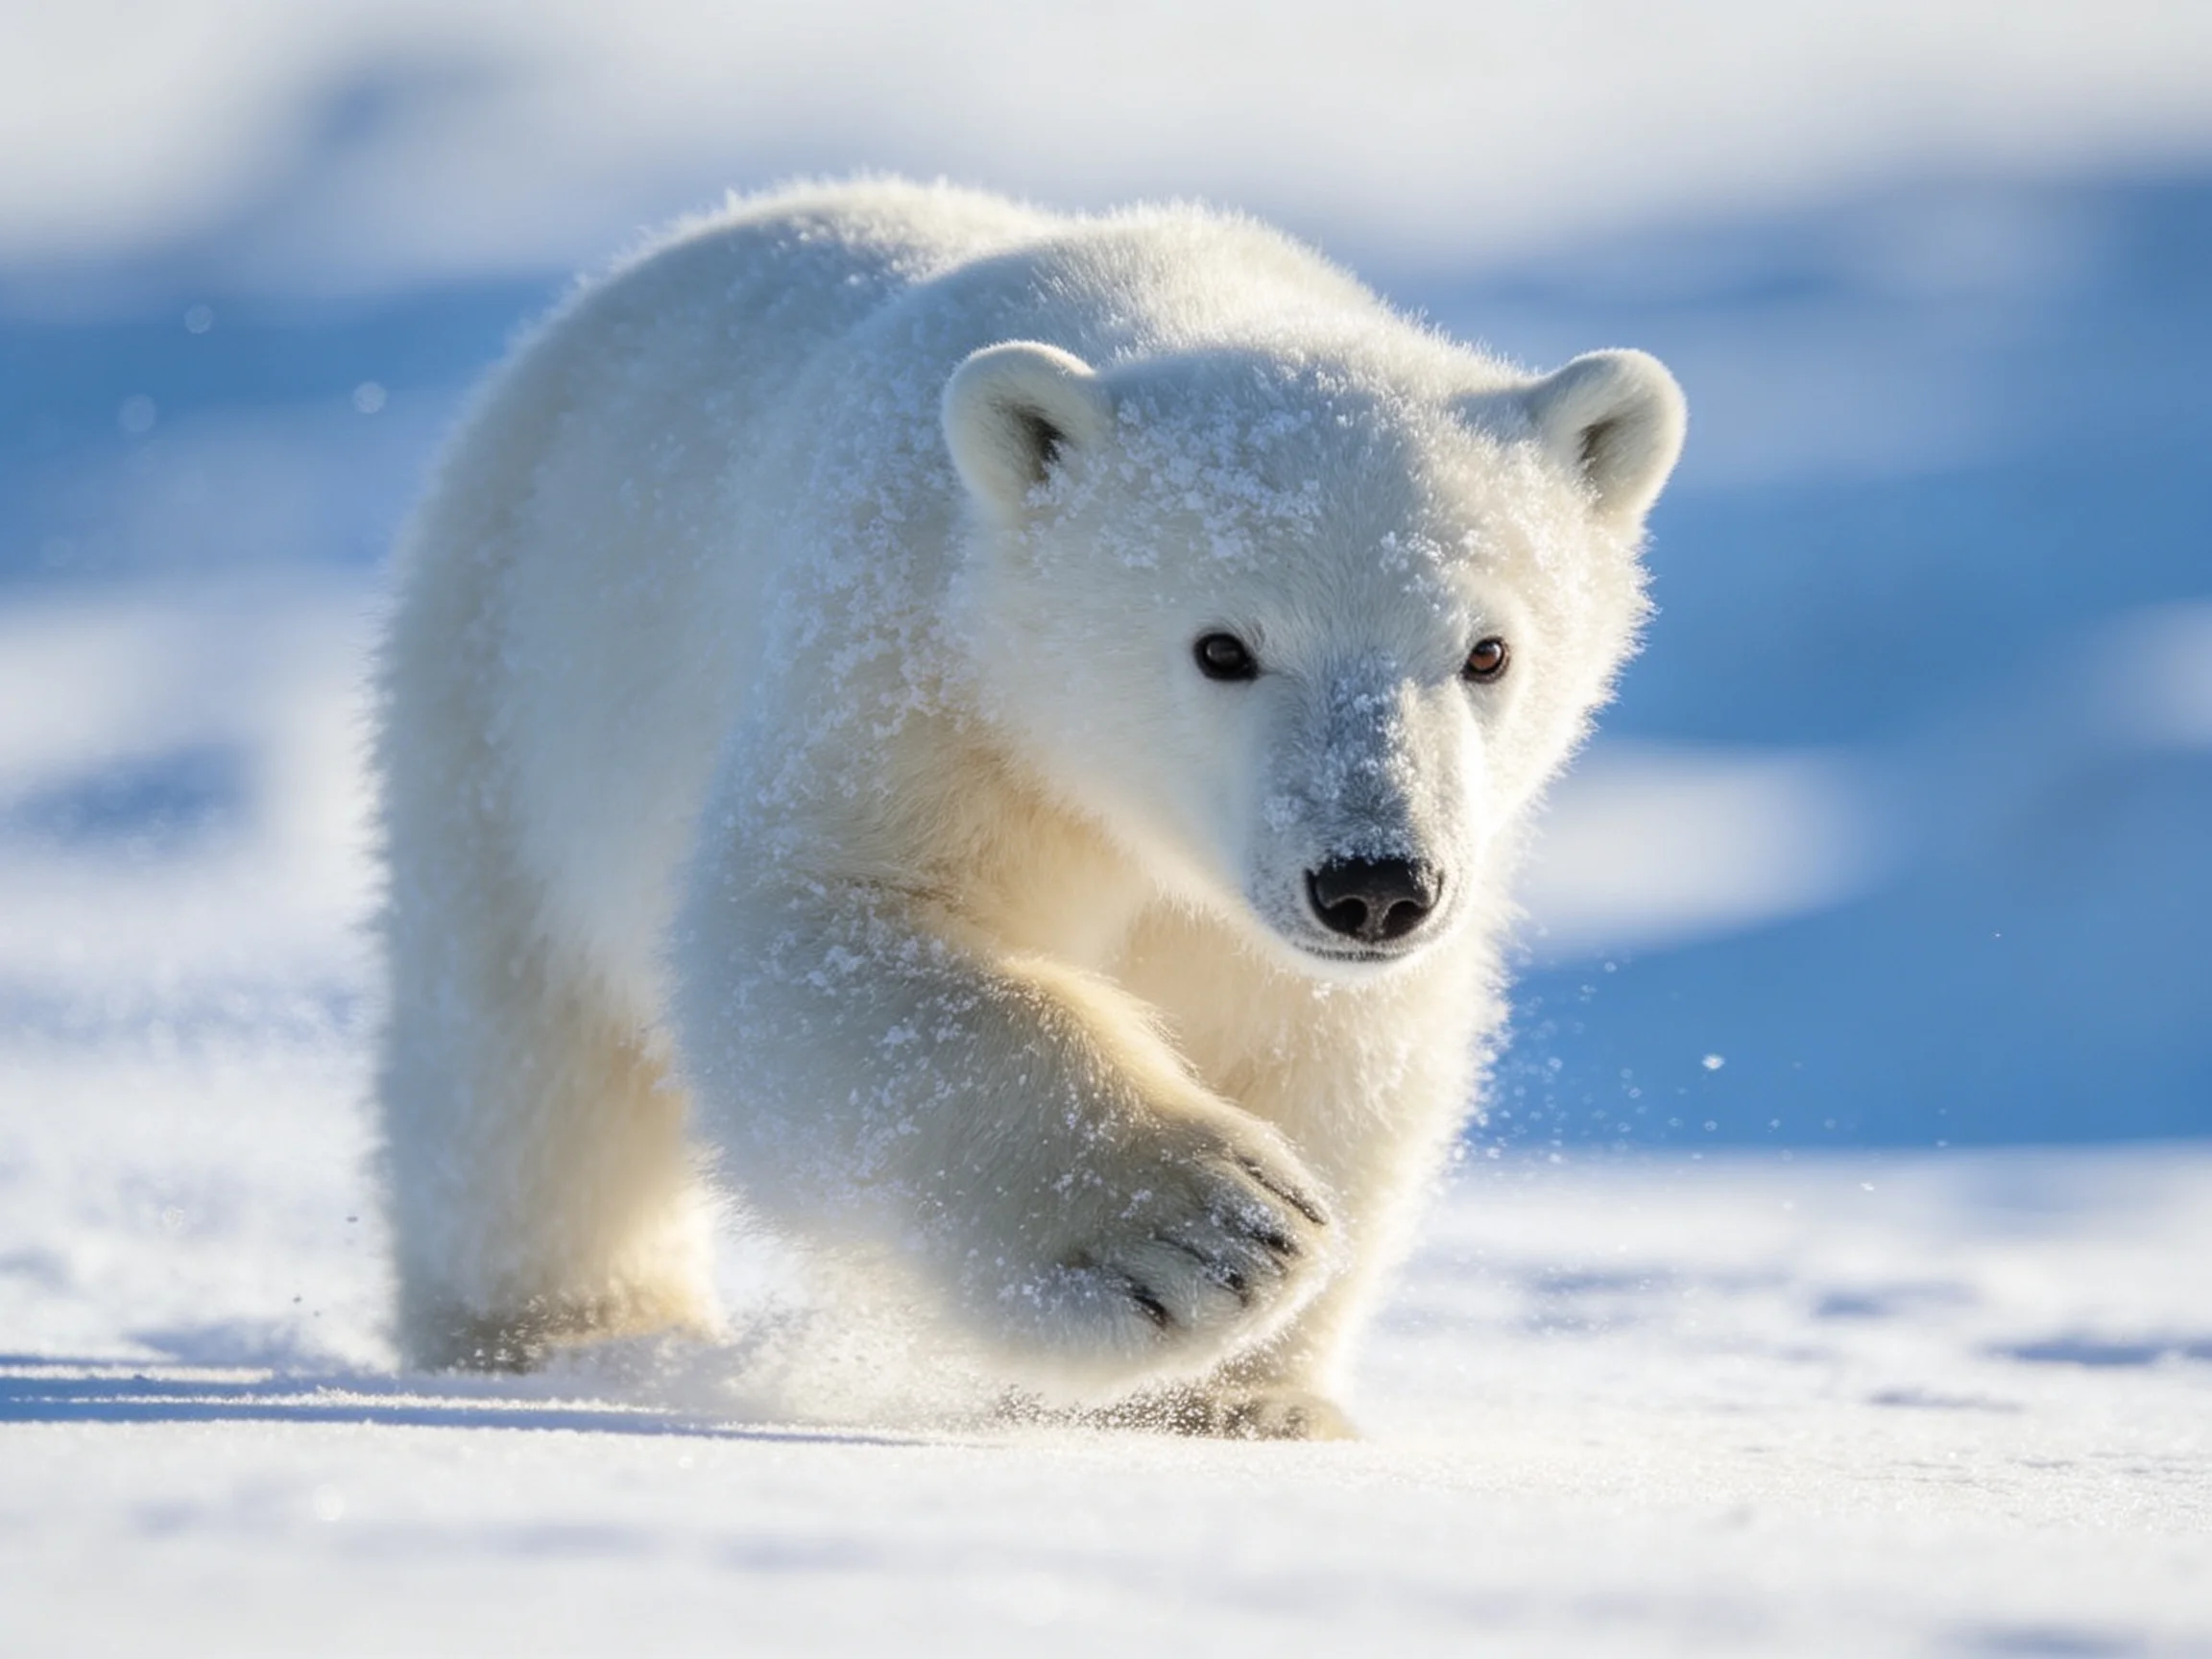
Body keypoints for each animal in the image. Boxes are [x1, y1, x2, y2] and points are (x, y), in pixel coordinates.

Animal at [374, 178, 1684, 1437]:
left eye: (1486, 652)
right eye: (1222, 648)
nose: (1371, 884)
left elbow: (1331, 1045)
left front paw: (1243, 1398)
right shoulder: (915, 680)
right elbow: (822, 939)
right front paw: (1206, 1237)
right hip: (498, 685)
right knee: (525, 1064)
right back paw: (573, 1333)